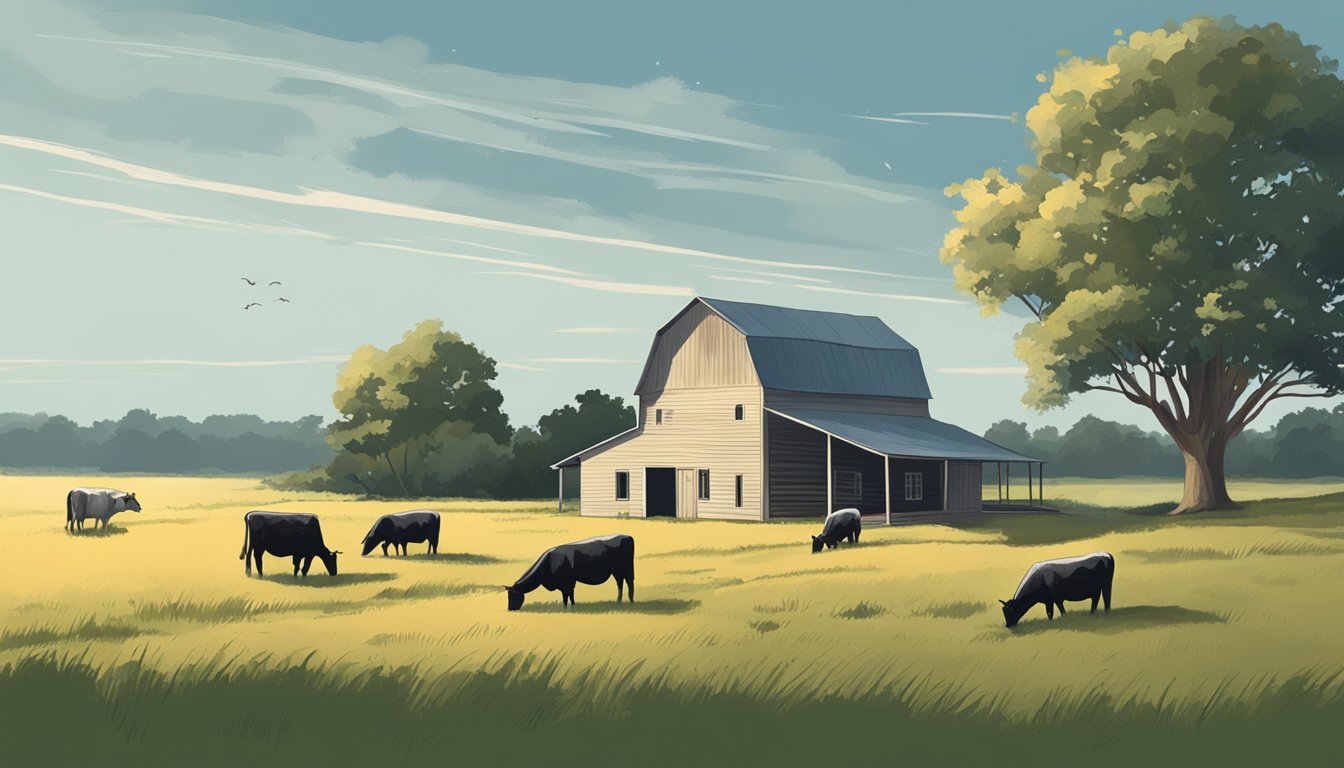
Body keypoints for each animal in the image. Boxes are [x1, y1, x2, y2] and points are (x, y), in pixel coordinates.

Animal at [505, 535, 634, 613]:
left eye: (513, 595)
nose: (510, 609)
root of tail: (626, 536)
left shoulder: (566, 582)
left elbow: (565, 596)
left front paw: (565, 608)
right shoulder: (569, 581)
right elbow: (570, 594)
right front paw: (572, 606)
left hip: (625, 569)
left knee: (629, 583)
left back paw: (631, 601)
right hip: (617, 571)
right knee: (620, 584)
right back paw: (619, 601)